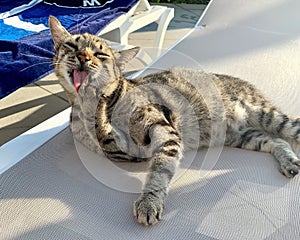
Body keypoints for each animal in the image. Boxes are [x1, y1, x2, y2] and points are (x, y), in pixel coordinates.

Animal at [49, 15, 300, 226]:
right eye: (72, 46)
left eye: (100, 55)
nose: (83, 57)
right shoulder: (124, 153)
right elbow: (109, 140)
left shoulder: (161, 126)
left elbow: (159, 169)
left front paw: (149, 202)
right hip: (243, 136)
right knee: (277, 141)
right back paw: (289, 162)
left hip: (269, 116)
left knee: (290, 131)